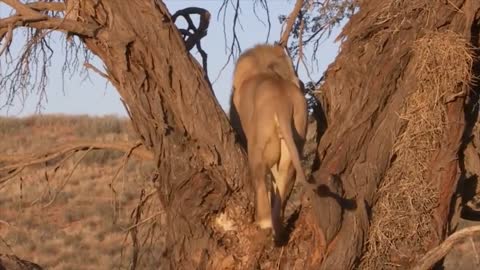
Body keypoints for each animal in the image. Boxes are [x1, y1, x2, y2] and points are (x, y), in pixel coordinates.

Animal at [230, 43, 312, 243]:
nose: (300, 82)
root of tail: (282, 103)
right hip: (292, 145)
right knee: (282, 184)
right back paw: (278, 230)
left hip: (258, 145)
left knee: (260, 179)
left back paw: (264, 221)